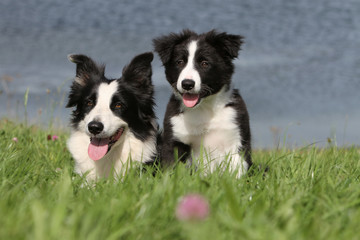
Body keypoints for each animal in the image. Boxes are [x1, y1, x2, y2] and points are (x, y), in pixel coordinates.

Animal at [153, 29, 252, 176]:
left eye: (205, 63)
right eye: (180, 62)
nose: (187, 84)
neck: (204, 108)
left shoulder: (236, 139)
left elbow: (237, 172)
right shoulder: (175, 139)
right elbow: (172, 170)